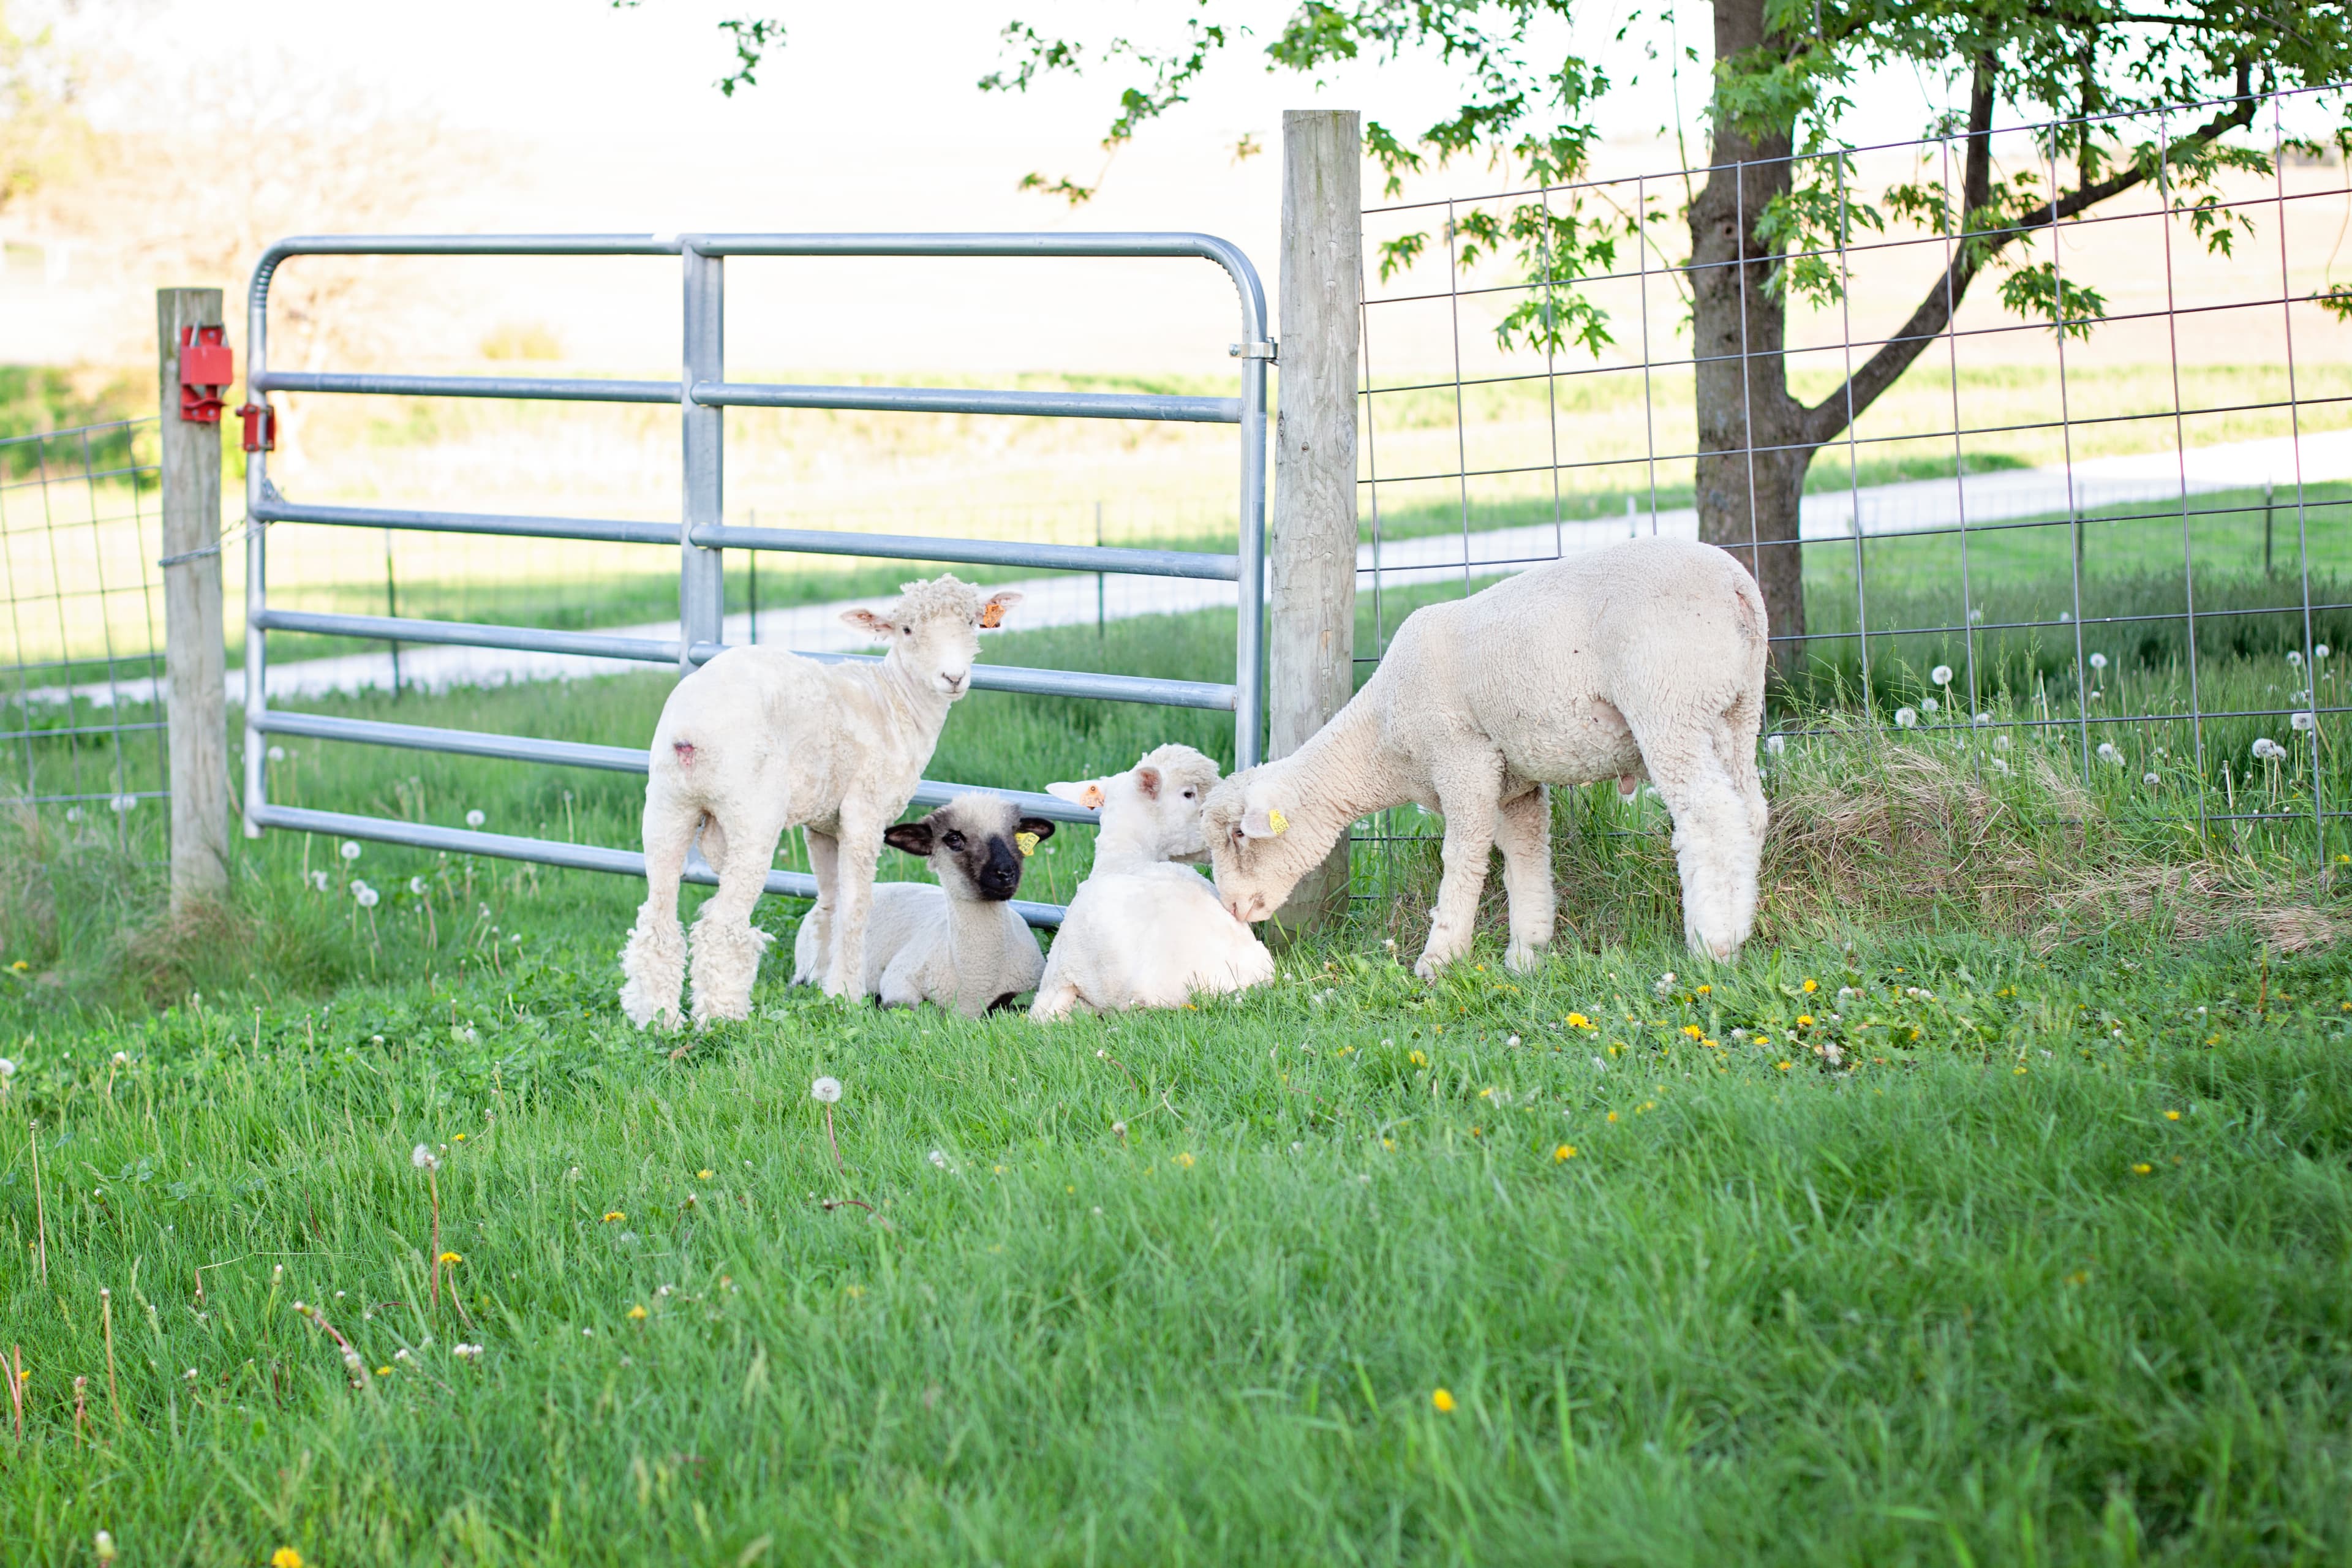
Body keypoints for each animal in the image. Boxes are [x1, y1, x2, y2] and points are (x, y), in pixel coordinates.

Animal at [618, 574, 1022, 1030]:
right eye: (906, 630)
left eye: (972, 622)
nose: (953, 677)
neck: (896, 704)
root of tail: (690, 731)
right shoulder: (865, 810)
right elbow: (857, 905)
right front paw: (847, 994)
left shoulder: (823, 821)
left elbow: (830, 902)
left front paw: (822, 985)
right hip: (752, 812)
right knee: (723, 925)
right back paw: (722, 1019)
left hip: (666, 805)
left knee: (656, 922)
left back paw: (659, 1020)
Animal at [790, 794, 1055, 1016]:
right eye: (954, 838)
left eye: (1014, 833)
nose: (1006, 873)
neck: (977, 978)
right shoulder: (898, 981)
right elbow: (910, 1008)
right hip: (809, 968)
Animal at [1201, 536, 1768, 974]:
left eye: (1238, 836)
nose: (1233, 907)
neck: (1381, 738)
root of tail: (1735, 584)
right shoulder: (1514, 785)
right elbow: (1526, 858)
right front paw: (1526, 955)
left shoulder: (1463, 759)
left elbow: (1463, 857)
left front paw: (1440, 958)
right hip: (1735, 710)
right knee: (1750, 812)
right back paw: (1740, 929)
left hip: (1669, 702)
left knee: (1710, 815)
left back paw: (1713, 944)